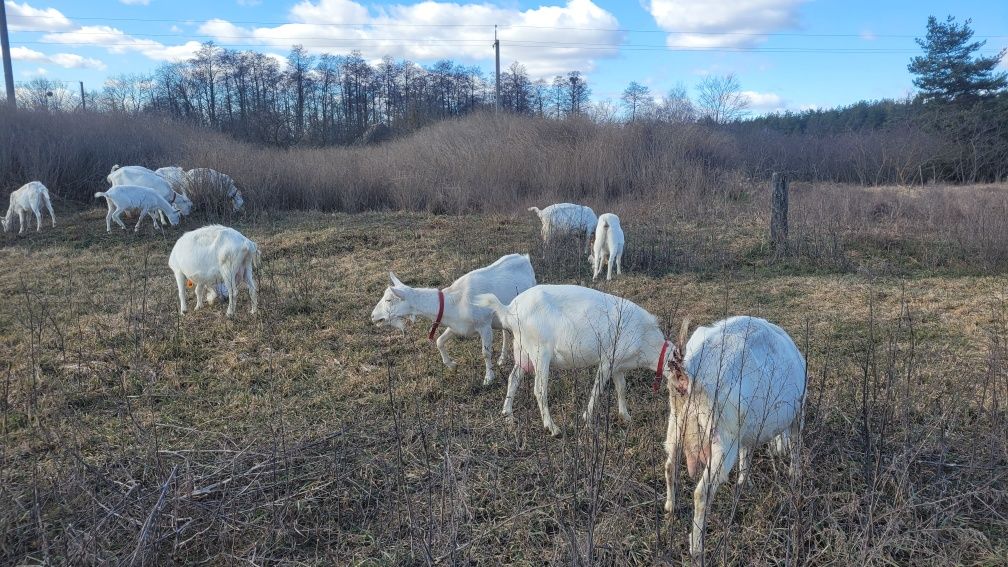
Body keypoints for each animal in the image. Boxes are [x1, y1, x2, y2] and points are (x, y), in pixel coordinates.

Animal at [370, 255, 536, 383]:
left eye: (389, 300)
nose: (373, 316)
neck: (454, 302)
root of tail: (524, 258)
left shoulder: (484, 325)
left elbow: (485, 353)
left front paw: (489, 377)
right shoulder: (457, 327)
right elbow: (439, 341)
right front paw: (452, 365)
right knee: (505, 333)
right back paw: (502, 359)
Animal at [475, 284, 673, 433]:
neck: (646, 338)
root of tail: (509, 310)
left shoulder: (618, 364)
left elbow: (622, 388)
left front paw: (626, 416)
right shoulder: (607, 360)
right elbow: (598, 388)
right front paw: (587, 418)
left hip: (523, 351)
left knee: (513, 378)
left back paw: (507, 415)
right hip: (540, 352)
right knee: (539, 389)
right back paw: (552, 427)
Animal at [661, 314, 810, 556]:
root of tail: (687, 372)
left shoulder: (746, 432)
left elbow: (746, 453)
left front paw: (743, 482)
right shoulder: (798, 412)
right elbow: (796, 446)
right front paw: (795, 474)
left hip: (675, 425)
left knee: (669, 466)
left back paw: (671, 507)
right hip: (722, 441)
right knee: (702, 493)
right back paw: (697, 546)